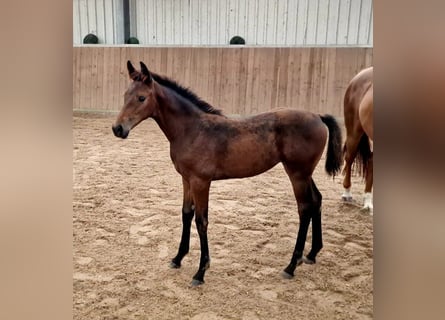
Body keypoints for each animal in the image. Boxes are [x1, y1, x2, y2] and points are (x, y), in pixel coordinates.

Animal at [112, 60, 342, 284]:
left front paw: (200, 271)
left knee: (304, 209)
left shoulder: (201, 182)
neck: (193, 130)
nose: (118, 129)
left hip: (297, 174)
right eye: (125, 95)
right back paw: (312, 254)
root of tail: (318, 117)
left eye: (141, 98)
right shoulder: (186, 179)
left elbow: (201, 221)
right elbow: (186, 214)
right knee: (317, 200)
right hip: (305, 173)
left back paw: (291, 266)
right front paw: (177, 258)